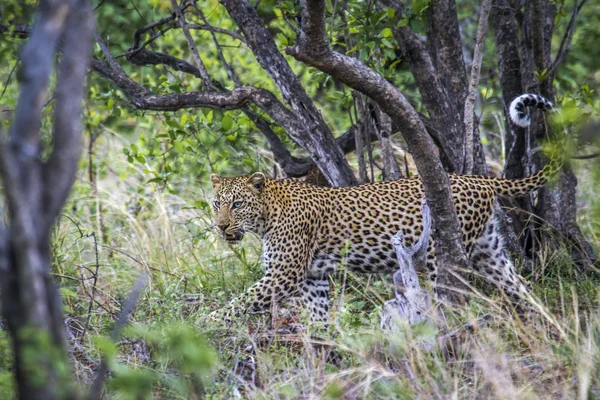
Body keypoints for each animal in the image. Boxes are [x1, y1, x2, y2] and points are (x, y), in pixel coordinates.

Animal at [209, 94, 556, 324]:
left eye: (237, 204)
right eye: (216, 204)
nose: (221, 226)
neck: (266, 217)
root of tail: (478, 179)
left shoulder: (285, 275)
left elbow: (239, 302)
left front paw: (204, 324)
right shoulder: (313, 279)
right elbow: (319, 318)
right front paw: (325, 351)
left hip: (442, 255)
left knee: (455, 296)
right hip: (490, 251)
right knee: (521, 289)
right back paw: (545, 328)